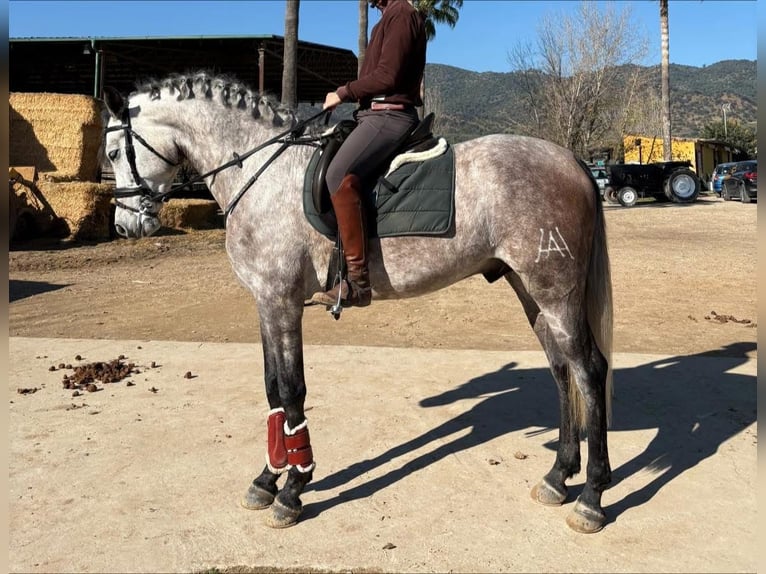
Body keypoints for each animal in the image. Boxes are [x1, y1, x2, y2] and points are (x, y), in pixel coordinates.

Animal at [102, 72, 614, 533]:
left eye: (112, 152)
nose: (125, 225)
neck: (261, 171)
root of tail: (571, 160)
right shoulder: (266, 303)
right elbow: (272, 389)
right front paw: (267, 479)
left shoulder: (282, 302)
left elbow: (292, 390)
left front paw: (292, 490)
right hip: (531, 291)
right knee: (561, 370)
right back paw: (557, 477)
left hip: (556, 292)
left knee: (589, 370)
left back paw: (590, 498)